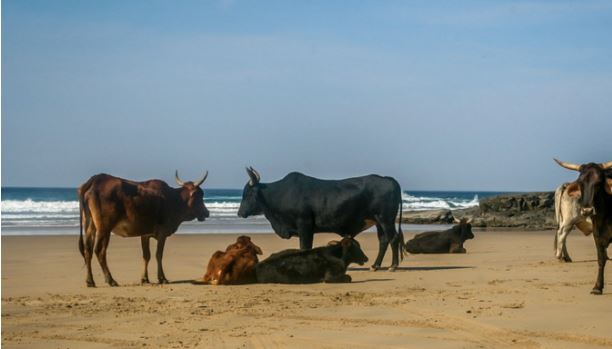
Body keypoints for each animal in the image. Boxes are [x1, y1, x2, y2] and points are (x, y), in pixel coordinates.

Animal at [78, 170, 210, 286]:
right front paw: (162, 278)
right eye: (200, 196)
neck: (174, 200)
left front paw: (145, 278)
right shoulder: (162, 234)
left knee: (88, 250)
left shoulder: (145, 235)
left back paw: (90, 281)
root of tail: (96, 180)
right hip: (104, 228)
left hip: (90, 227)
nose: (207, 212)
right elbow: (158, 255)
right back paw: (110, 280)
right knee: (99, 251)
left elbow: (146, 256)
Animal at [239, 167, 406, 270]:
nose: (240, 213)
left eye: (247, 193)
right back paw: (376, 266)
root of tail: (387, 179)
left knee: (393, 238)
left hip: (385, 219)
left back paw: (393, 266)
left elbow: (304, 247)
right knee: (383, 240)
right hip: (378, 221)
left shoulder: (304, 225)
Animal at [556, 158, 612, 294]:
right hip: (569, 220)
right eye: (580, 184)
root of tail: (565, 185)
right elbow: (601, 258)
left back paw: (566, 257)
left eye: (599, 183)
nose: (587, 210)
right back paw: (560, 257)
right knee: (561, 234)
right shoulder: (597, 233)